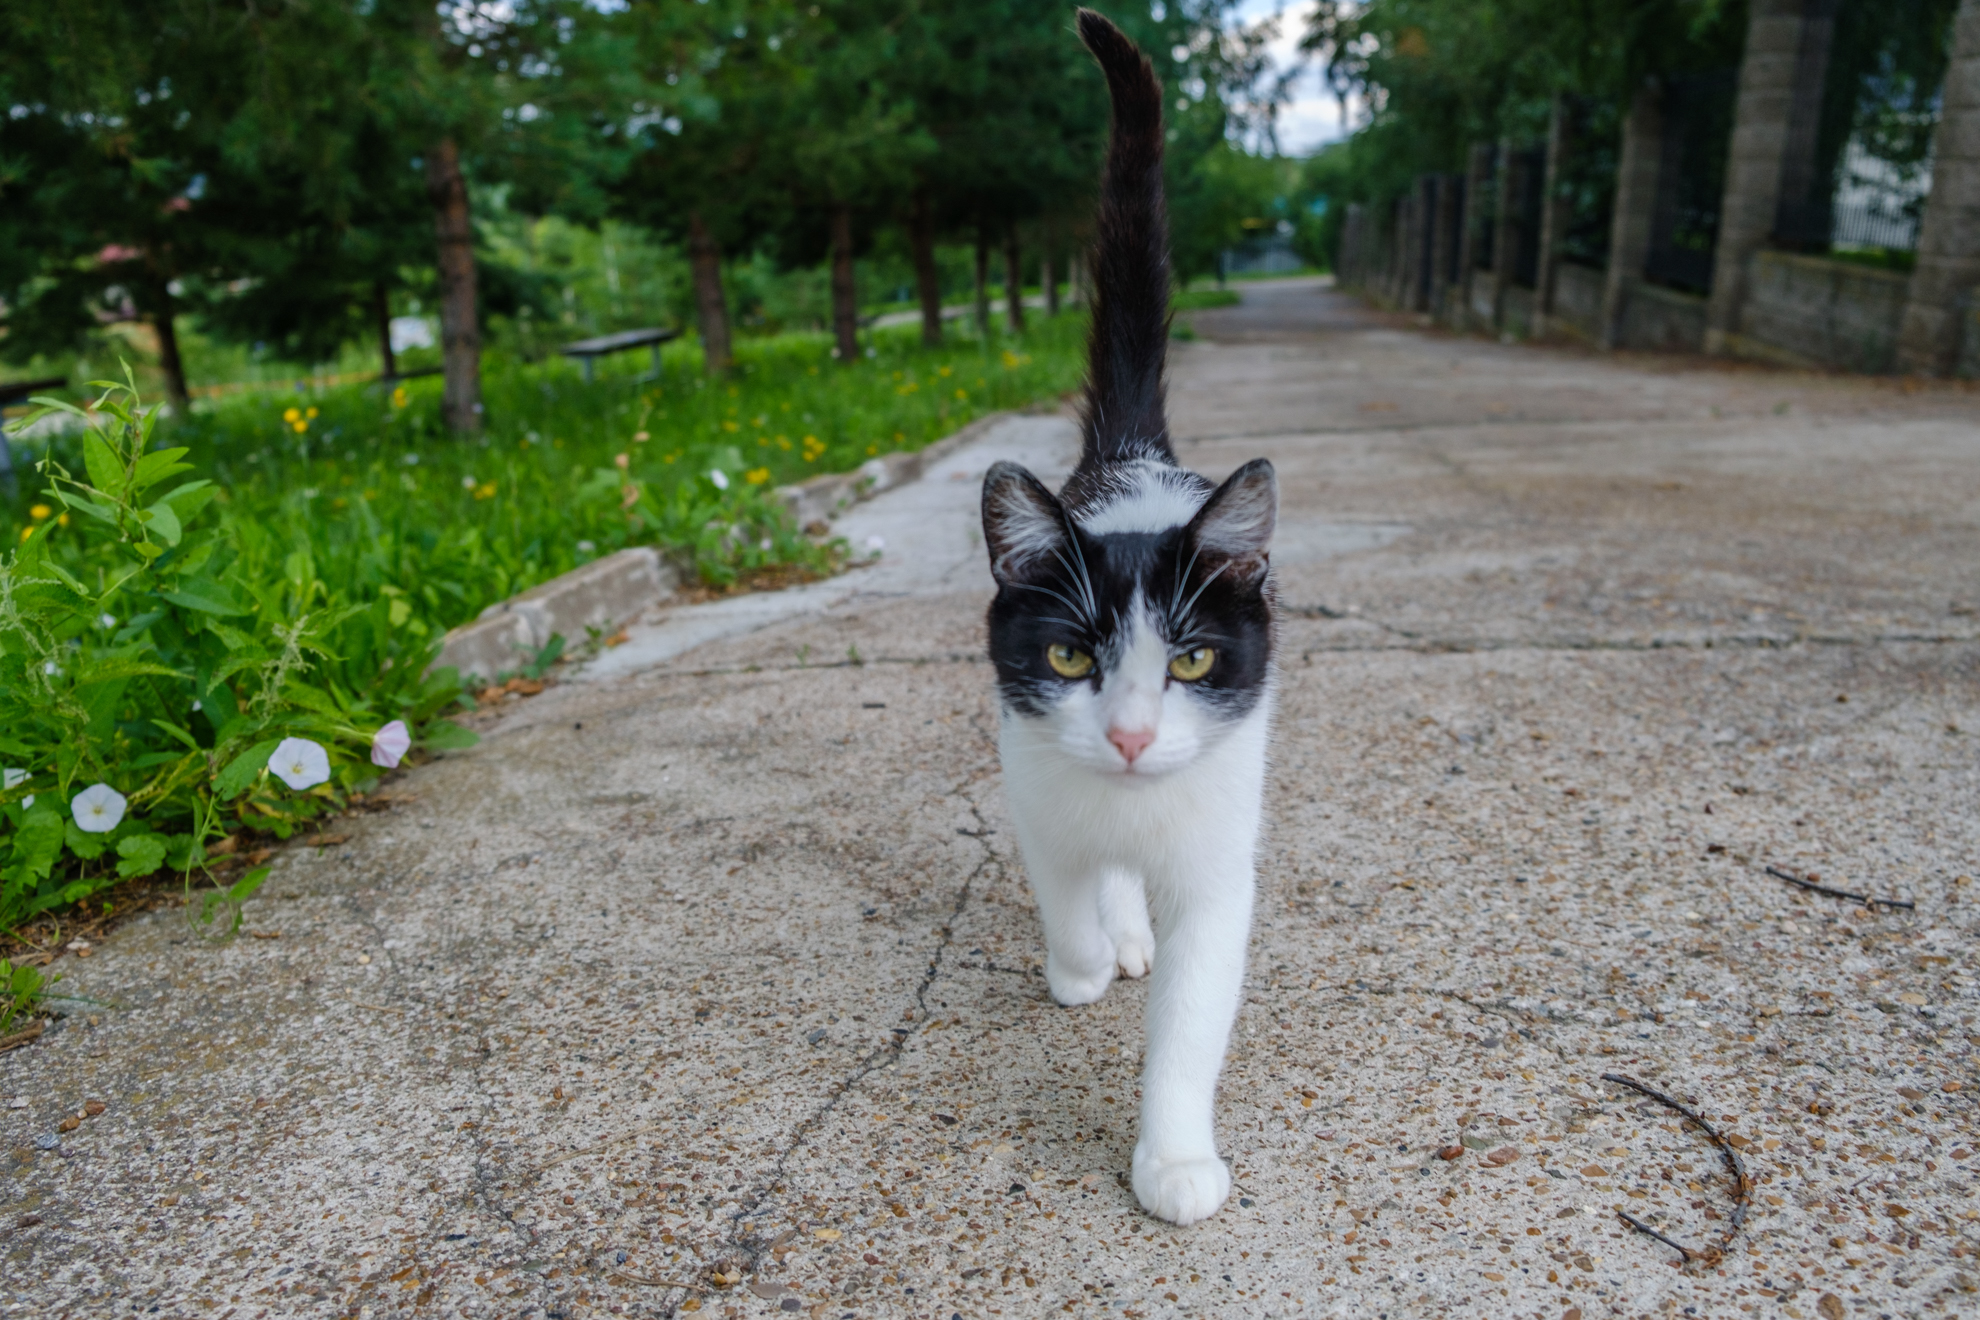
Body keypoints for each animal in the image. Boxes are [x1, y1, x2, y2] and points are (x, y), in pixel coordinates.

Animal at [978, 7, 1283, 1226]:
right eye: (1069, 653)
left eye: (1194, 663)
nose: (1132, 737)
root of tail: (1133, 459)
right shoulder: (1032, 777)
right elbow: (1063, 890)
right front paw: (1082, 966)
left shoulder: (1218, 852)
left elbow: (1198, 1010)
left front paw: (1175, 1161)